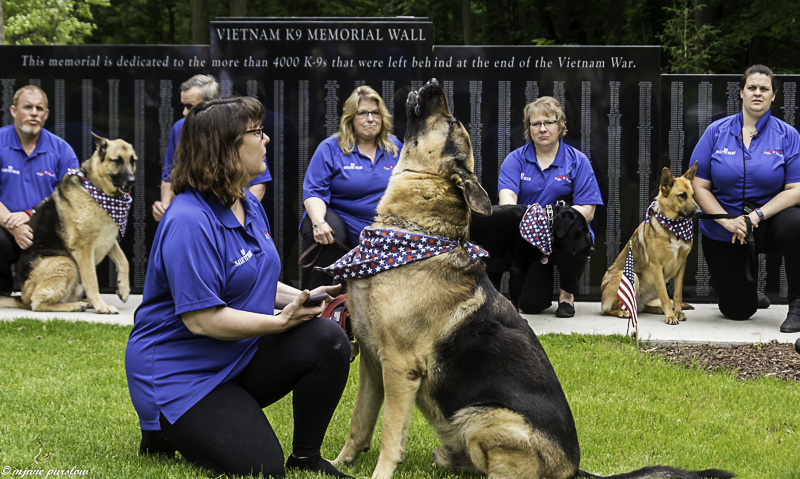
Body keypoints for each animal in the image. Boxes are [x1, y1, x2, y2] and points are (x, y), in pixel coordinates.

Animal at [0, 134, 136, 316]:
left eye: (133, 160)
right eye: (117, 160)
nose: (132, 181)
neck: (97, 189)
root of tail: (23, 296)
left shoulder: (107, 240)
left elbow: (124, 260)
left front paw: (124, 289)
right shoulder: (84, 249)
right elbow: (92, 280)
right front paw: (102, 306)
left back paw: (83, 302)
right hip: (66, 263)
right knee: (38, 304)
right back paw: (75, 306)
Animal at [600, 165, 700, 326]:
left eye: (693, 195)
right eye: (682, 195)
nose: (699, 212)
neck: (675, 227)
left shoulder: (681, 265)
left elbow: (677, 294)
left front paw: (677, 313)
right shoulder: (656, 266)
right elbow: (665, 296)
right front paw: (671, 316)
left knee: (641, 307)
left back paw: (655, 309)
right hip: (631, 275)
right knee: (609, 309)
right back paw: (622, 312)